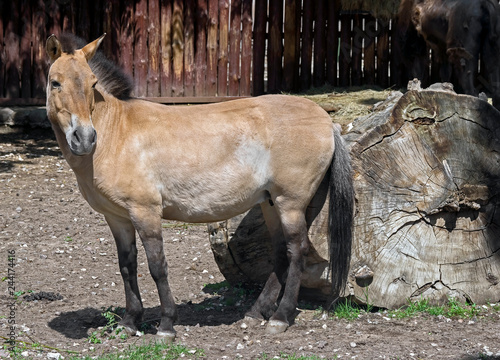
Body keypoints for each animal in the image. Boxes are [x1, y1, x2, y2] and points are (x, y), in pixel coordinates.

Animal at [45, 33, 354, 340]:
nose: (85, 138)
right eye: (55, 82)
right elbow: (127, 266)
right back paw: (257, 313)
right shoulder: (118, 218)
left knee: (297, 252)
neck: (117, 132)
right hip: (272, 204)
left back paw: (280, 317)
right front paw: (130, 322)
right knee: (281, 253)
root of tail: (328, 123)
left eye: (92, 83)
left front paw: (166, 325)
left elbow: (157, 266)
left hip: (290, 204)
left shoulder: (146, 212)